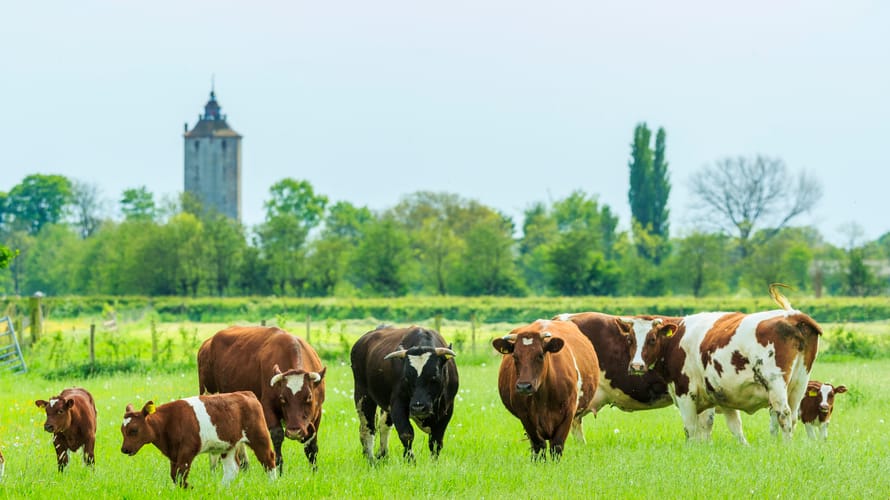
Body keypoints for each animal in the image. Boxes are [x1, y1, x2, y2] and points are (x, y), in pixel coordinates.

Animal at [120, 391, 277, 488]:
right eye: (122, 431)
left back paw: (272, 483)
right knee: (232, 469)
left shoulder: (187, 450)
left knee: (268, 459)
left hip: (259, 436)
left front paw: (190, 488)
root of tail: (246, 393)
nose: (124, 449)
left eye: (134, 430)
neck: (168, 422)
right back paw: (221, 489)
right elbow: (174, 475)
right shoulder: (174, 454)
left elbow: (180, 474)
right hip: (228, 445)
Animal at [197, 326, 326, 473]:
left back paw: (243, 464)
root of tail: (208, 342)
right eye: (282, 398)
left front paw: (314, 471)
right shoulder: (267, 407)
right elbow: (277, 436)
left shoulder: (317, 412)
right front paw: (279, 470)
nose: (294, 431)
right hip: (209, 393)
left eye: (309, 396)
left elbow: (312, 445)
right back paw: (215, 466)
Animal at [350, 325, 459, 463]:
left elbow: (436, 440)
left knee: (383, 426)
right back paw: (371, 459)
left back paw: (383, 455)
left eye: (434, 377)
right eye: (406, 378)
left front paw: (434, 462)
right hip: (362, 395)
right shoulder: (397, 404)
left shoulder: (447, 409)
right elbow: (406, 433)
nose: (418, 407)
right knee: (367, 428)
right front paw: (410, 460)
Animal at [492, 319, 600, 460]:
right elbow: (539, 446)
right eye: (515, 356)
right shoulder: (525, 417)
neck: (543, 396)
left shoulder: (569, 413)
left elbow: (556, 446)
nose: (524, 386)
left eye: (540, 355)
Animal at [639, 284, 822, 443]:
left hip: (775, 382)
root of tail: (792, 315)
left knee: (783, 414)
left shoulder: (685, 392)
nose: (637, 365)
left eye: (652, 339)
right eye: (634, 340)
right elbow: (731, 426)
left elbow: (691, 428)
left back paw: (786, 445)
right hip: (799, 382)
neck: (676, 341)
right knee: (792, 417)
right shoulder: (721, 394)